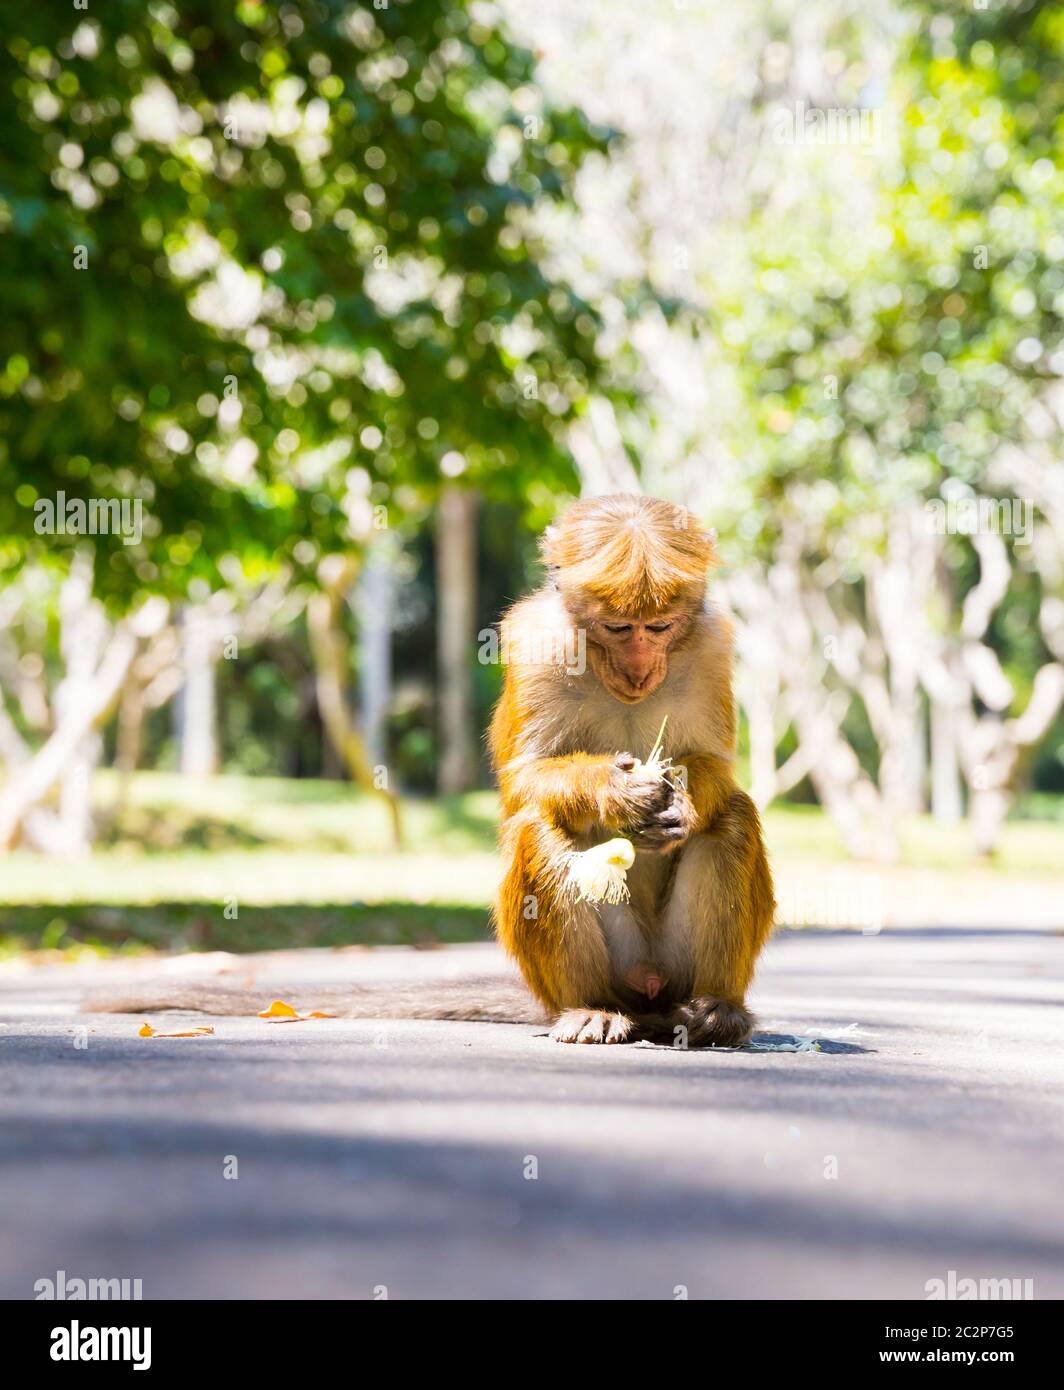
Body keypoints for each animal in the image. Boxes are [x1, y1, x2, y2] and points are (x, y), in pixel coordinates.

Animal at [488, 493, 775, 1046]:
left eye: (659, 627)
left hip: (673, 962)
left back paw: (717, 1011)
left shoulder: (710, 647)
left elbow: (716, 767)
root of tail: (650, 991)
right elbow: (524, 781)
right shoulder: (538, 644)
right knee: (539, 826)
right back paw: (590, 1007)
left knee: (733, 816)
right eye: (619, 627)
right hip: (619, 964)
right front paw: (614, 792)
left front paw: (682, 801)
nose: (640, 669)